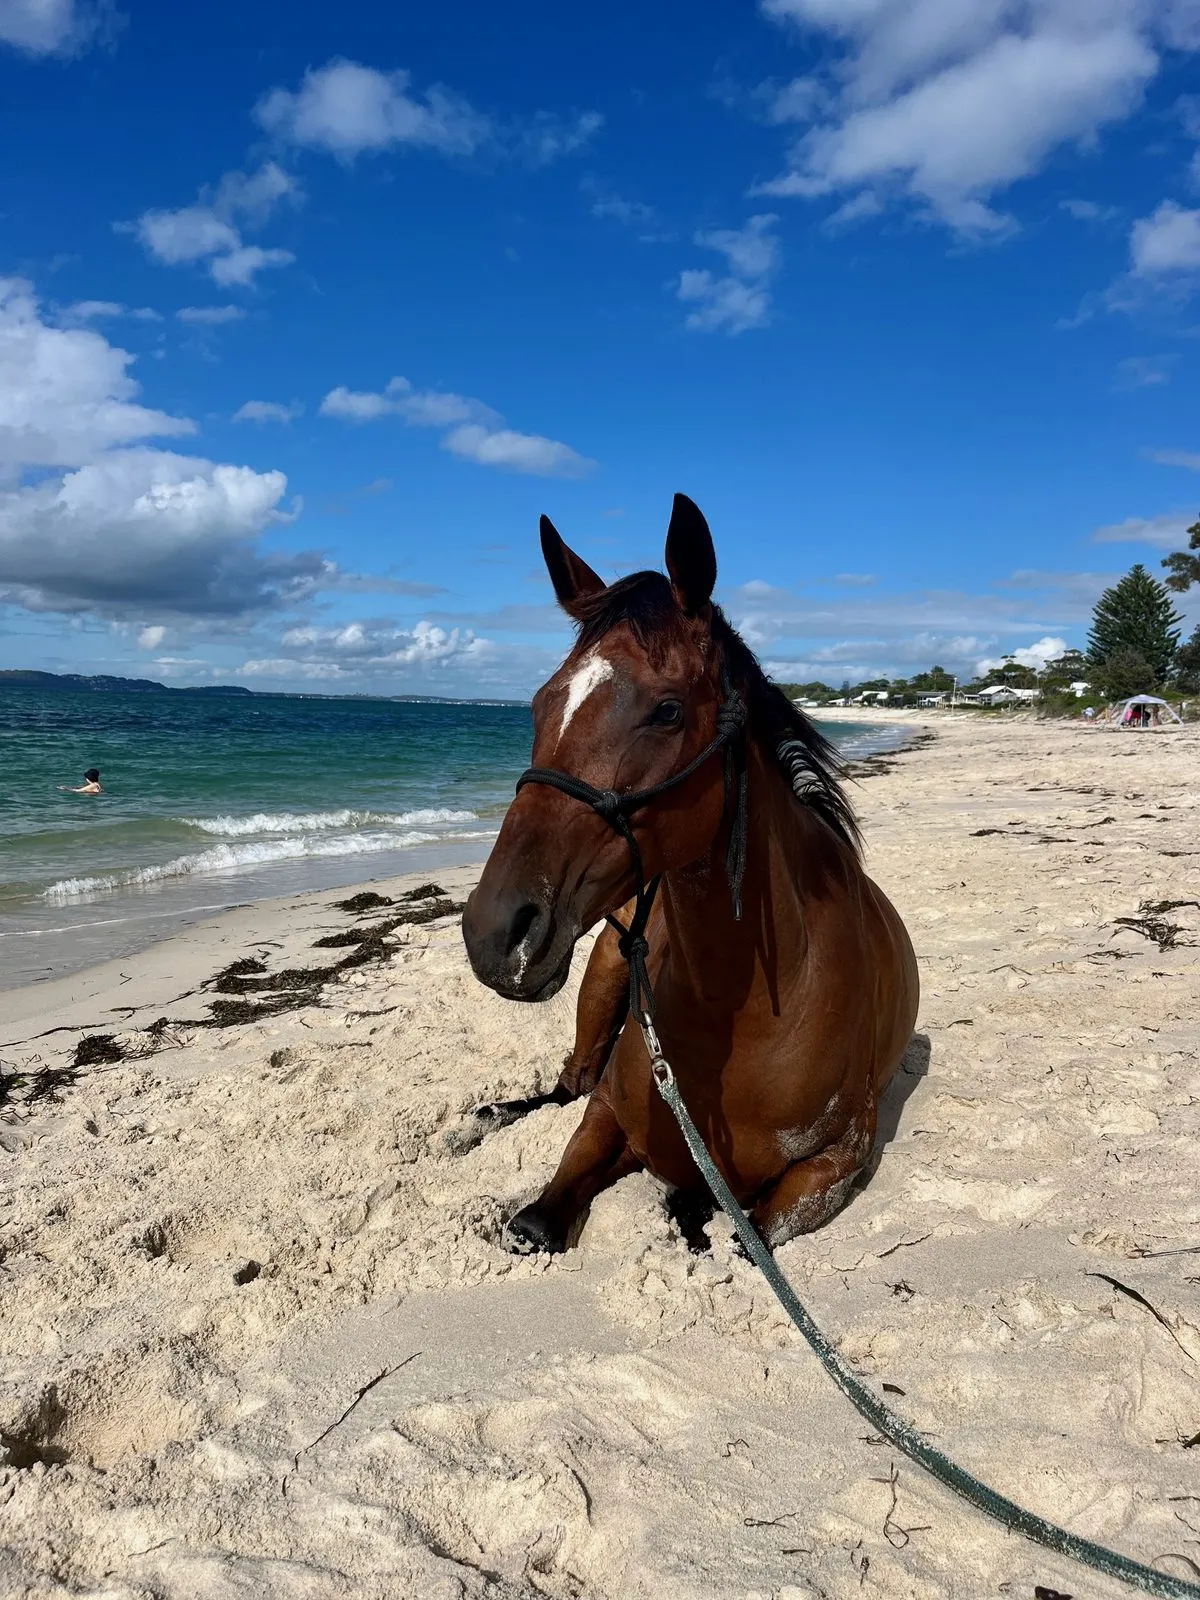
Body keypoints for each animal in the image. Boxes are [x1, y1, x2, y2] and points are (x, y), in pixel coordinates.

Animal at [462, 494, 919, 1256]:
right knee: (566, 1083)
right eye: (541, 704)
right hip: (603, 976)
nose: (496, 934)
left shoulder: (832, 1167)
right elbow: (540, 1214)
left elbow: (743, 1231)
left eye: (668, 709)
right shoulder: (609, 1115)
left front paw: (692, 1209)